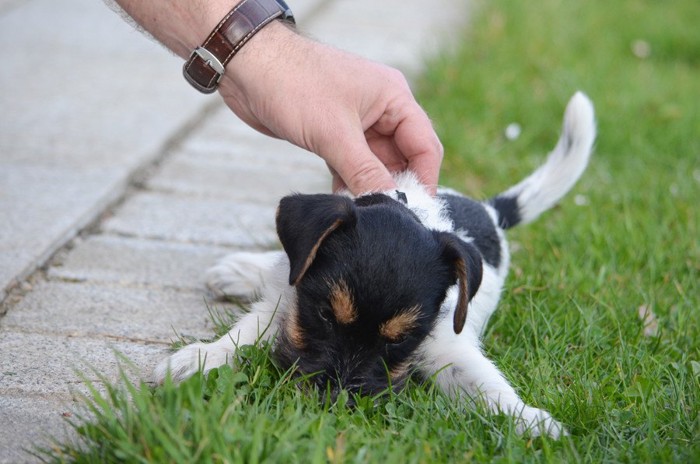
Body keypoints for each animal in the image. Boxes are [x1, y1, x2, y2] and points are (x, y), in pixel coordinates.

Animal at [154, 92, 596, 436]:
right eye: (325, 315)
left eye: (399, 340)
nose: (333, 400)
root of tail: (490, 211)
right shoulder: (290, 301)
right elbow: (245, 334)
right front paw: (194, 362)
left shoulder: (446, 347)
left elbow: (485, 384)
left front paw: (531, 421)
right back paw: (238, 270)